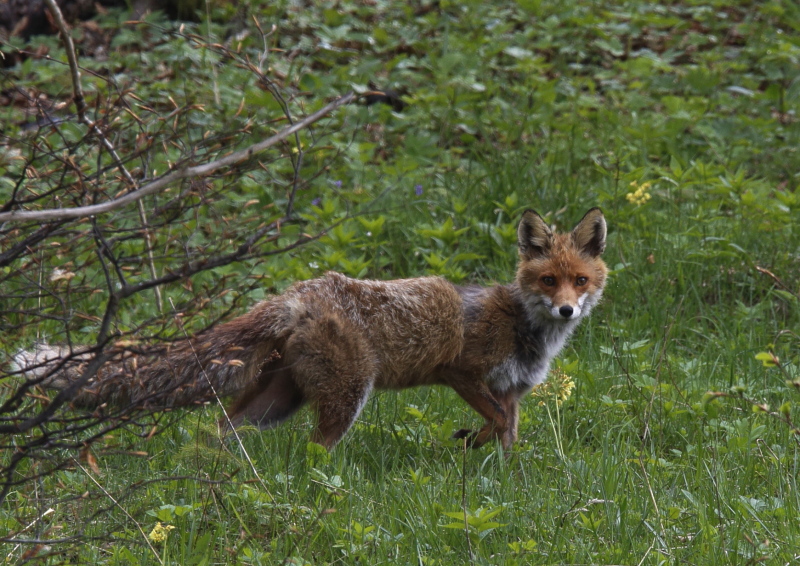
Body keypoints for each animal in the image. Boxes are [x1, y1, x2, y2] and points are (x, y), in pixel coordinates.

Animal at [14, 209, 608, 452]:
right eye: (548, 280)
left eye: (579, 280)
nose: (566, 311)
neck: (523, 326)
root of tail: (299, 291)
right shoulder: (459, 371)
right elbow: (494, 424)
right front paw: (471, 446)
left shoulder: (511, 392)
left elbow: (506, 435)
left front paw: (493, 471)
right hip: (347, 395)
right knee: (315, 450)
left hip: (278, 400)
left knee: (217, 434)